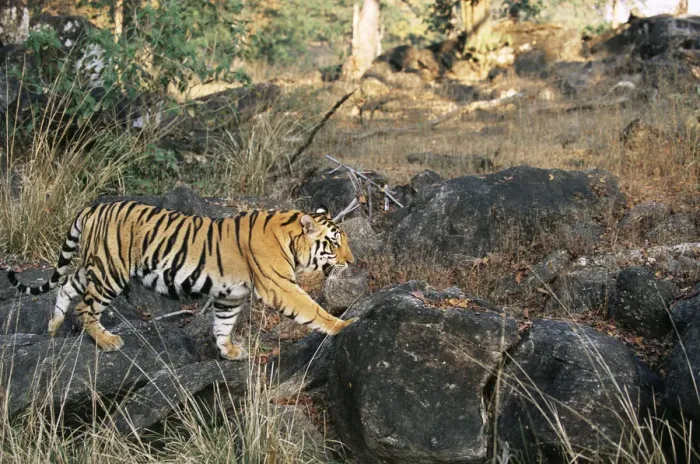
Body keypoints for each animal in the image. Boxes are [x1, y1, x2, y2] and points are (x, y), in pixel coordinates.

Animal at [7, 201, 357, 361]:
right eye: (334, 243)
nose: (352, 261)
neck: (290, 238)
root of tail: (95, 206)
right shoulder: (280, 287)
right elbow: (313, 310)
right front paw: (344, 325)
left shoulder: (230, 295)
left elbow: (222, 324)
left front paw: (228, 350)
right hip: (110, 272)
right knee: (85, 308)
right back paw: (106, 341)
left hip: (95, 264)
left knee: (67, 286)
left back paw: (53, 328)